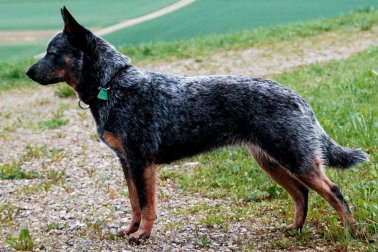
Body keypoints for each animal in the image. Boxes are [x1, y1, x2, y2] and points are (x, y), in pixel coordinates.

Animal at [27, 5, 370, 242]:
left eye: (52, 52)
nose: (28, 72)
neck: (112, 84)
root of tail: (299, 97)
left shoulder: (141, 161)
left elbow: (147, 204)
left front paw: (143, 236)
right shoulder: (126, 162)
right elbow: (135, 203)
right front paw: (131, 230)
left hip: (294, 158)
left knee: (334, 191)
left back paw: (355, 234)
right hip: (271, 161)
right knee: (301, 194)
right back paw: (295, 229)